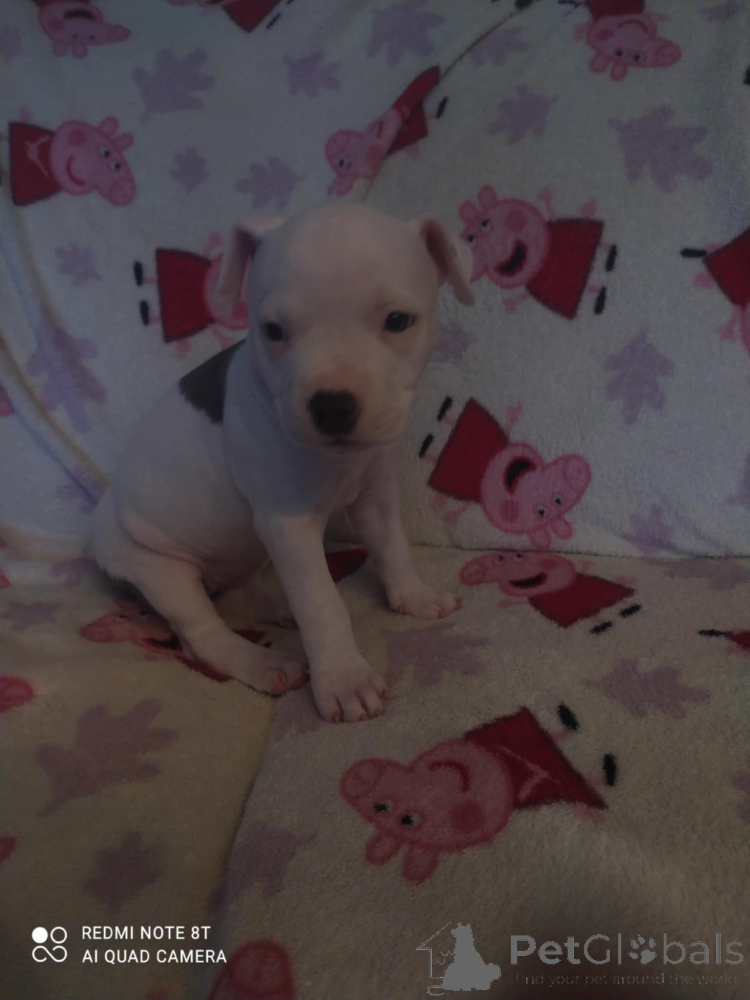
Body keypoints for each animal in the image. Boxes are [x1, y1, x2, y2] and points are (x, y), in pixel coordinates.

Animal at [90, 202, 474, 722]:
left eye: (398, 320)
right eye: (273, 331)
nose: (332, 405)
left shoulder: (375, 494)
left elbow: (391, 547)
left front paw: (413, 596)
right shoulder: (288, 526)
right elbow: (320, 601)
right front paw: (345, 679)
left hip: (241, 554)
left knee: (240, 593)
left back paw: (275, 606)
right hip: (155, 566)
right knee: (203, 633)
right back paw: (264, 661)